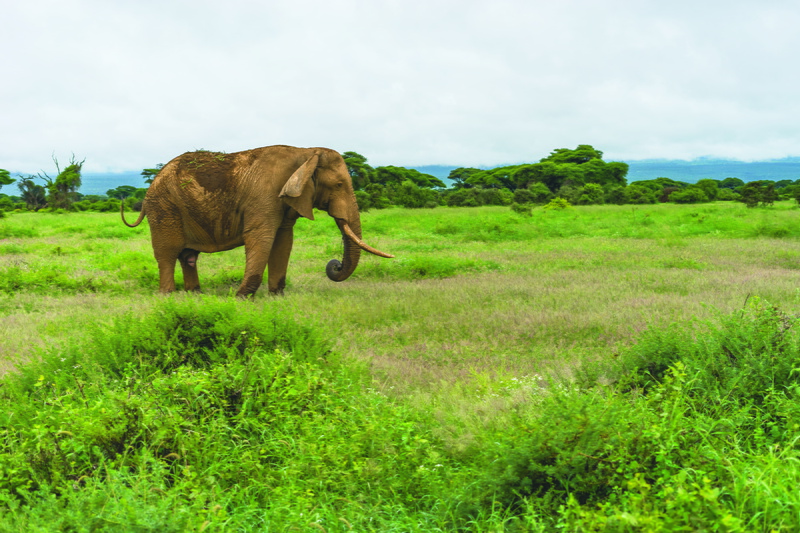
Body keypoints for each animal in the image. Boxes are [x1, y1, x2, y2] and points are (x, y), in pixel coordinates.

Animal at [121, 145, 393, 297]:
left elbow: (284, 241)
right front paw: (241, 297)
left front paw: (277, 296)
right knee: (167, 254)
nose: (335, 265)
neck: (305, 153)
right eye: (338, 185)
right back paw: (167, 295)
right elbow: (261, 238)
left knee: (188, 256)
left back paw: (194, 294)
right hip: (164, 209)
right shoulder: (263, 197)